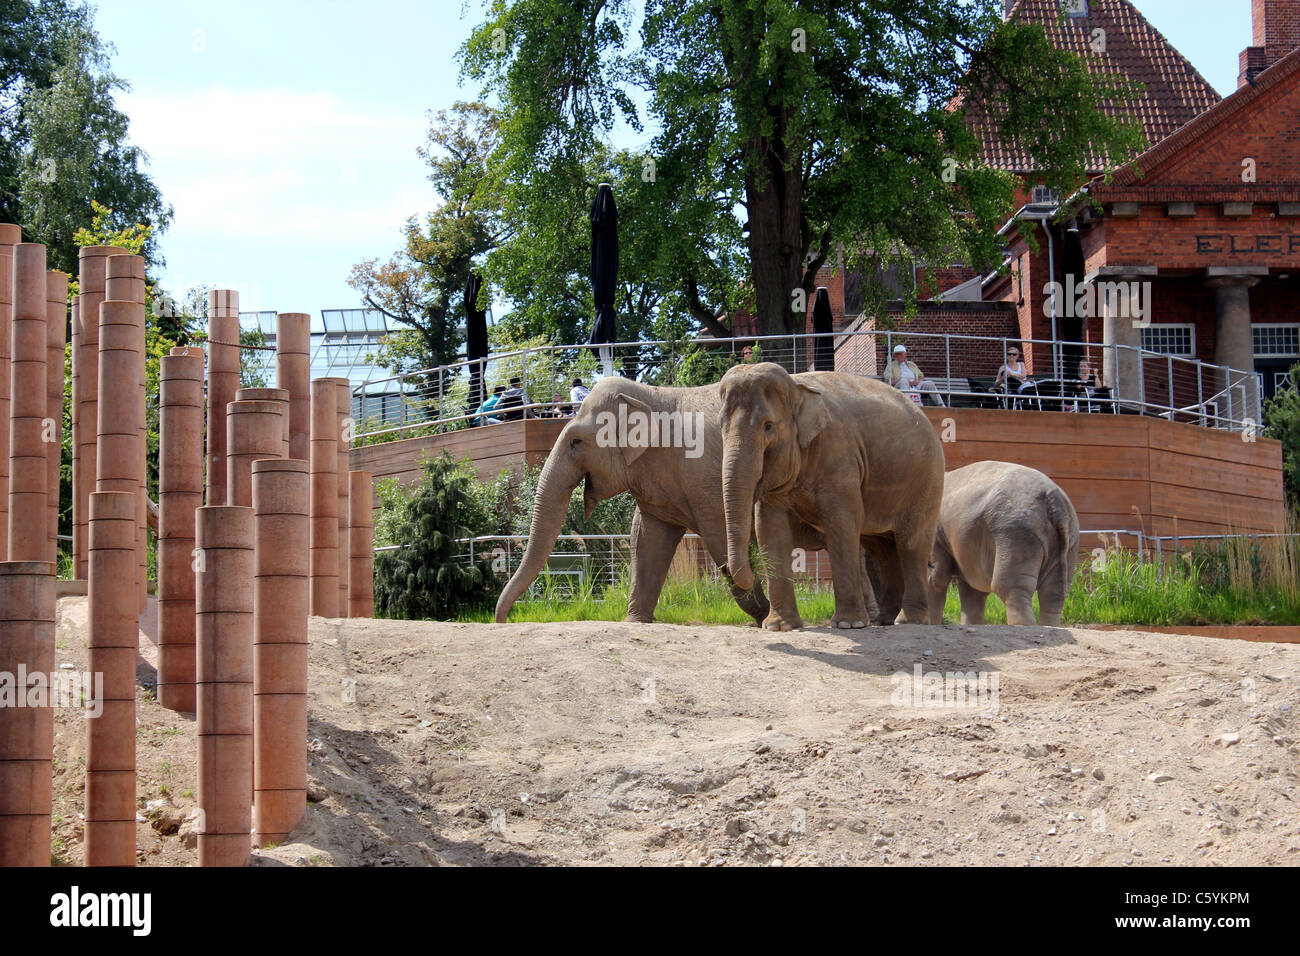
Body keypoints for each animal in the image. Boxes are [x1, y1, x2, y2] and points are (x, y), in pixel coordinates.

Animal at [719, 362, 946, 630]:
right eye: (721, 427)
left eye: (768, 426)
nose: (725, 569)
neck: (797, 388)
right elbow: (769, 527)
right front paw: (779, 627)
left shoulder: (839, 455)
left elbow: (842, 522)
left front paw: (849, 625)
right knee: (884, 549)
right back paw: (885, 621)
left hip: (927, 480)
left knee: (911, 543)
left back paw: (908, 621)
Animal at [926, 460, 1080, 626]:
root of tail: (1054, 501)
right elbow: (972, 590)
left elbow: (936, 578)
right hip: (1069, 539)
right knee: (1054, 591)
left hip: (1017, 534)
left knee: (1010, 587)